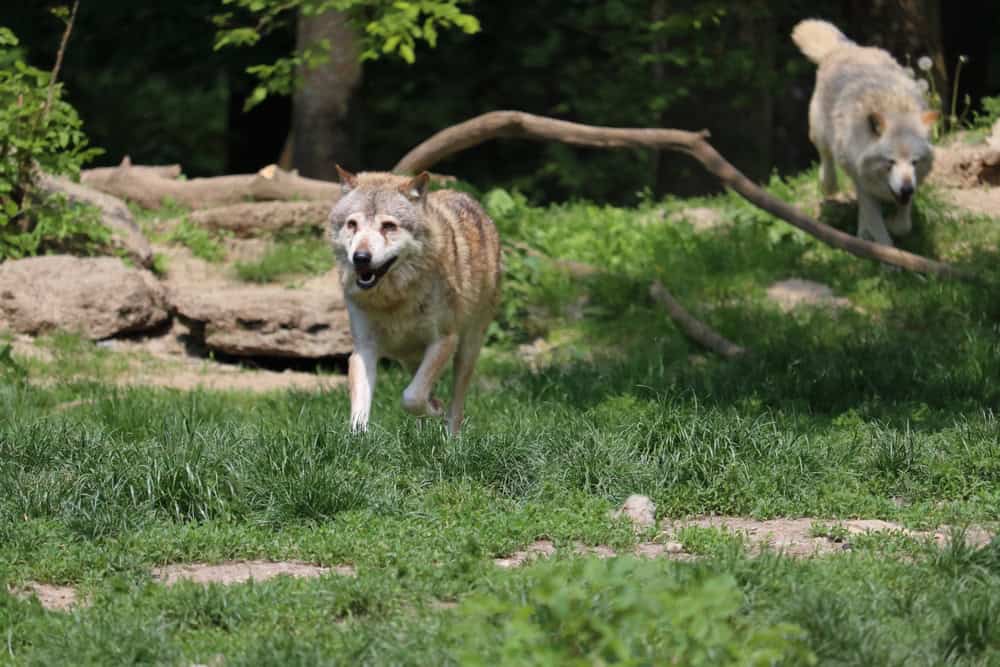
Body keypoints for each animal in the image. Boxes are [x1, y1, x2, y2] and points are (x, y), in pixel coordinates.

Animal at [328, 170, 500, 436]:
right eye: (352, 224)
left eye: (389, 226)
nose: (361, 258)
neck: (393, 300)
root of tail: (468, 198)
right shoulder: (363, 348)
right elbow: (359, 414)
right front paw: (356, 441)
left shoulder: (444, 341)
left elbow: (411, 397)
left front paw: (434, 410)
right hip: (409, 358)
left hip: (466, 351)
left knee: (455, 407)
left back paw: (451, 437)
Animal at [788, 19, 936, 247]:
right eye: (890, 162)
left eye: (915, 162)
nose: (906, 189)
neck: (894, 110)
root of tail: (843, 48)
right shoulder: (864, 183)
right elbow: (880, 232)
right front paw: (883, 252)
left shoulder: (908, 187)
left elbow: (903, 225)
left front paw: (892, 225)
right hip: (821, 134)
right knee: (826, 159)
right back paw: (829, 185)